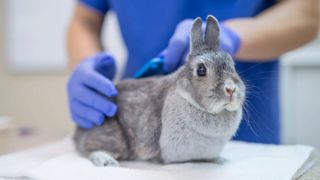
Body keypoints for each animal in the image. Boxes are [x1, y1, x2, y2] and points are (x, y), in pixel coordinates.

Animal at [74, 15, 246, 166]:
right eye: (201, 70)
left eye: (232, 65)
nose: (231, 89)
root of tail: (78, 133)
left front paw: (219, 160)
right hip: (114, 137)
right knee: (92, 149)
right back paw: (105, 160)